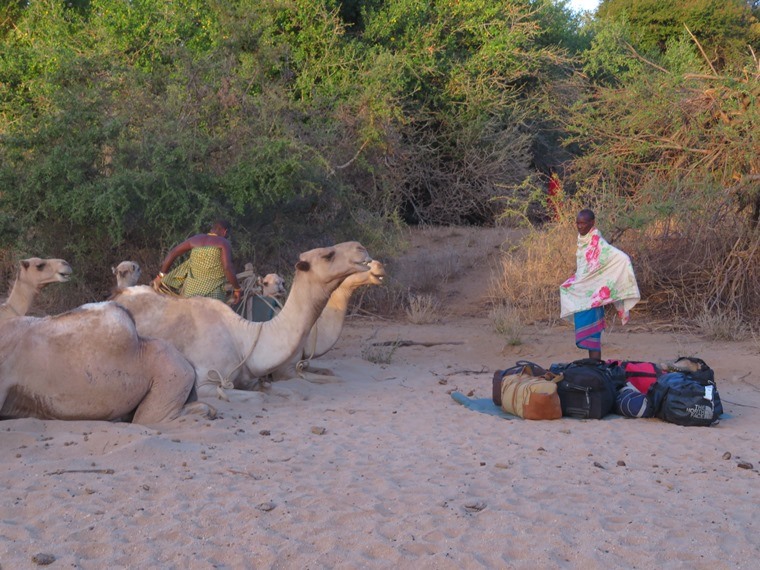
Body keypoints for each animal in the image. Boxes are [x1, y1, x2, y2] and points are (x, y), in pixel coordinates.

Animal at [111, 240, 372, 400]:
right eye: (328, 254)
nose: (361, 249)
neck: (243, 339)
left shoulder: (252, 378)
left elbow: (288, 392)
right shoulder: (206, 383)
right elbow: (259, 398)